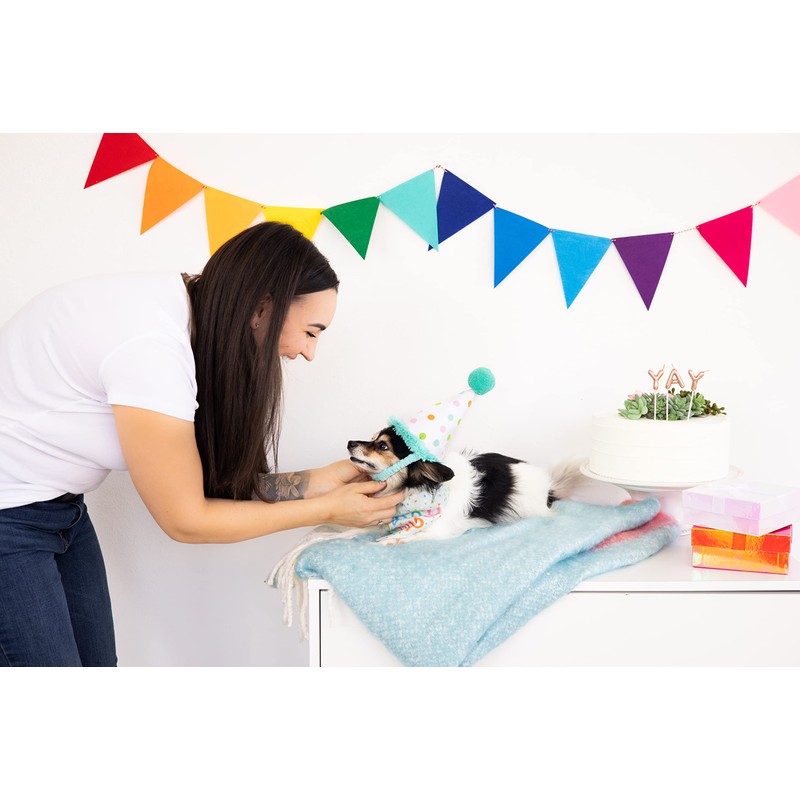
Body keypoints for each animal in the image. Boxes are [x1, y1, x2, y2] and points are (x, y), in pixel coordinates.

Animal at [347, 427, 583, 543]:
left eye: (382, 446)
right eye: (371, 438)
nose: (349, 442)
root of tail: (549, 488)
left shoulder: (436, 530)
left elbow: (395, 540)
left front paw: (373, 545)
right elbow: (356, 529)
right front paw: (337, 535)